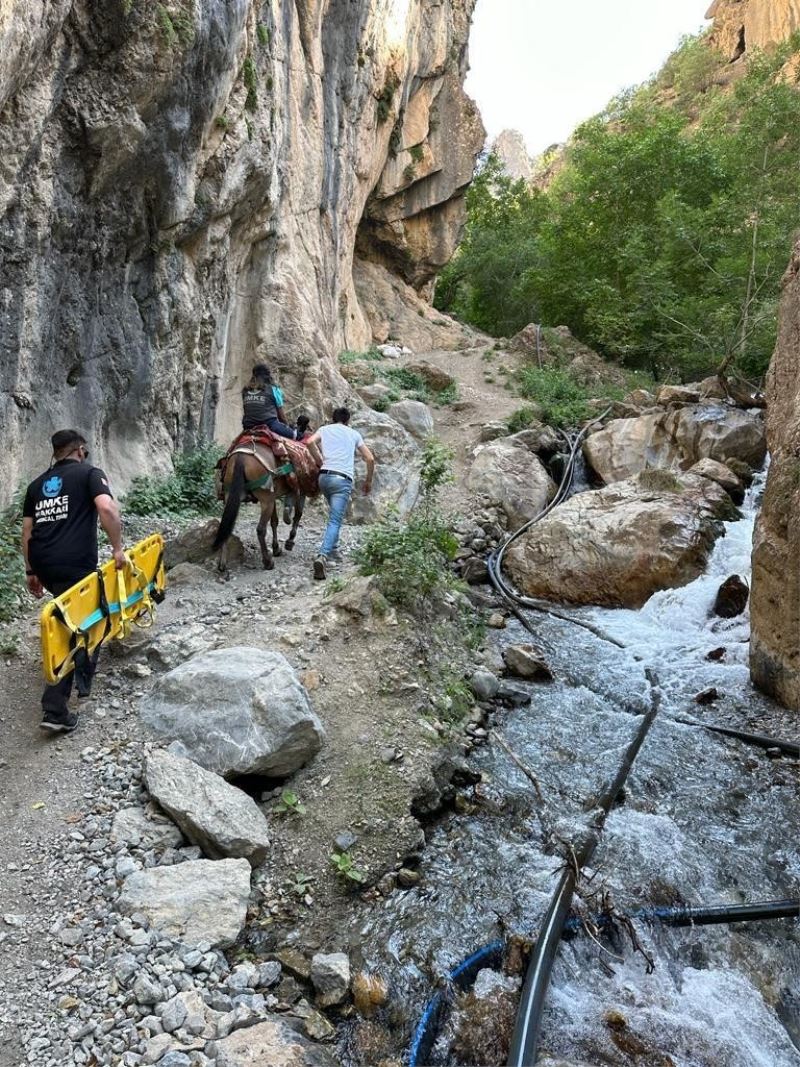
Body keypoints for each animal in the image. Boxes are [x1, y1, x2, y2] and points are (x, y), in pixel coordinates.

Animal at [211, 441, 305, 571]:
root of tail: (240, 457)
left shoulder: (273, 497)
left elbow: (274, 521)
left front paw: (276, 548)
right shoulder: (296, 492)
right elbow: (298, 514)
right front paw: (288, 542)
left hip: (230, 496)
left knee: (226, 525)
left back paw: (222, 563)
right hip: (266, 500)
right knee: (260, 529)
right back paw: (268, 562)